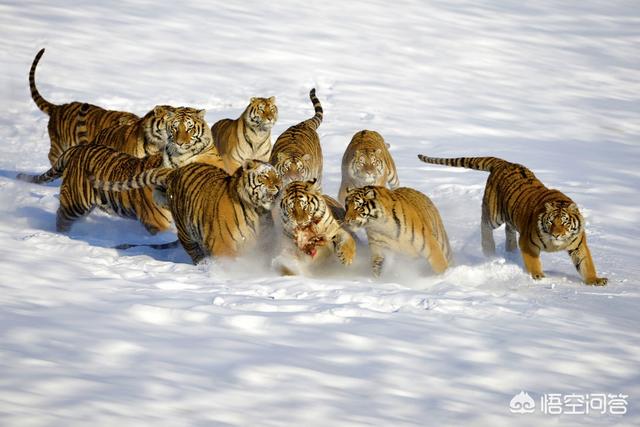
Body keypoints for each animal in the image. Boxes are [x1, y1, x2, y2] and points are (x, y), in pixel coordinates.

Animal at [91, 160, 282, 264]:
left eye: (278, 176)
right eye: (265, 177)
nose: (280, 186)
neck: (256, 210)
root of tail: (174, 172)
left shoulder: (264, 243)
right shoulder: (222, 245)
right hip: (186, 231)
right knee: (195, 253)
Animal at [418, 155, 608, 288]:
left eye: (565, 222)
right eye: (551, 222)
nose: (557, 235)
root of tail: (504, 162)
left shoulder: (578, 245)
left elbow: (586, 264)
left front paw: (595, 280)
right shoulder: (528, 242)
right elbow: (533, 261)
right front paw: (538, 276)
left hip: (510, 218)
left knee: (508, 230)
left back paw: (510, 249)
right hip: (494, 214)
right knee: (484, 223)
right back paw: (489, 249)